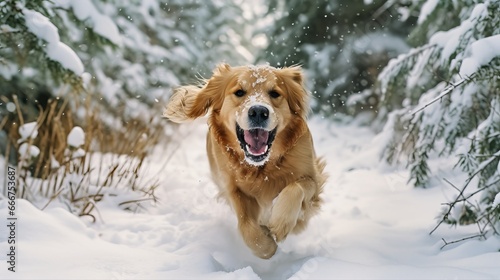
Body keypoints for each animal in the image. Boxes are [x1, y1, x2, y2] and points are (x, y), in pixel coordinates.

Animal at [164, 64, 328, 260]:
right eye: (239, 92)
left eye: (275, 93)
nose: (258, 111)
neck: (262, 168)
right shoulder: (233, 189)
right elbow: (246, 226)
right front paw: (266, 245)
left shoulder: (312, 179)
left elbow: (296, 188)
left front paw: (280, 224)